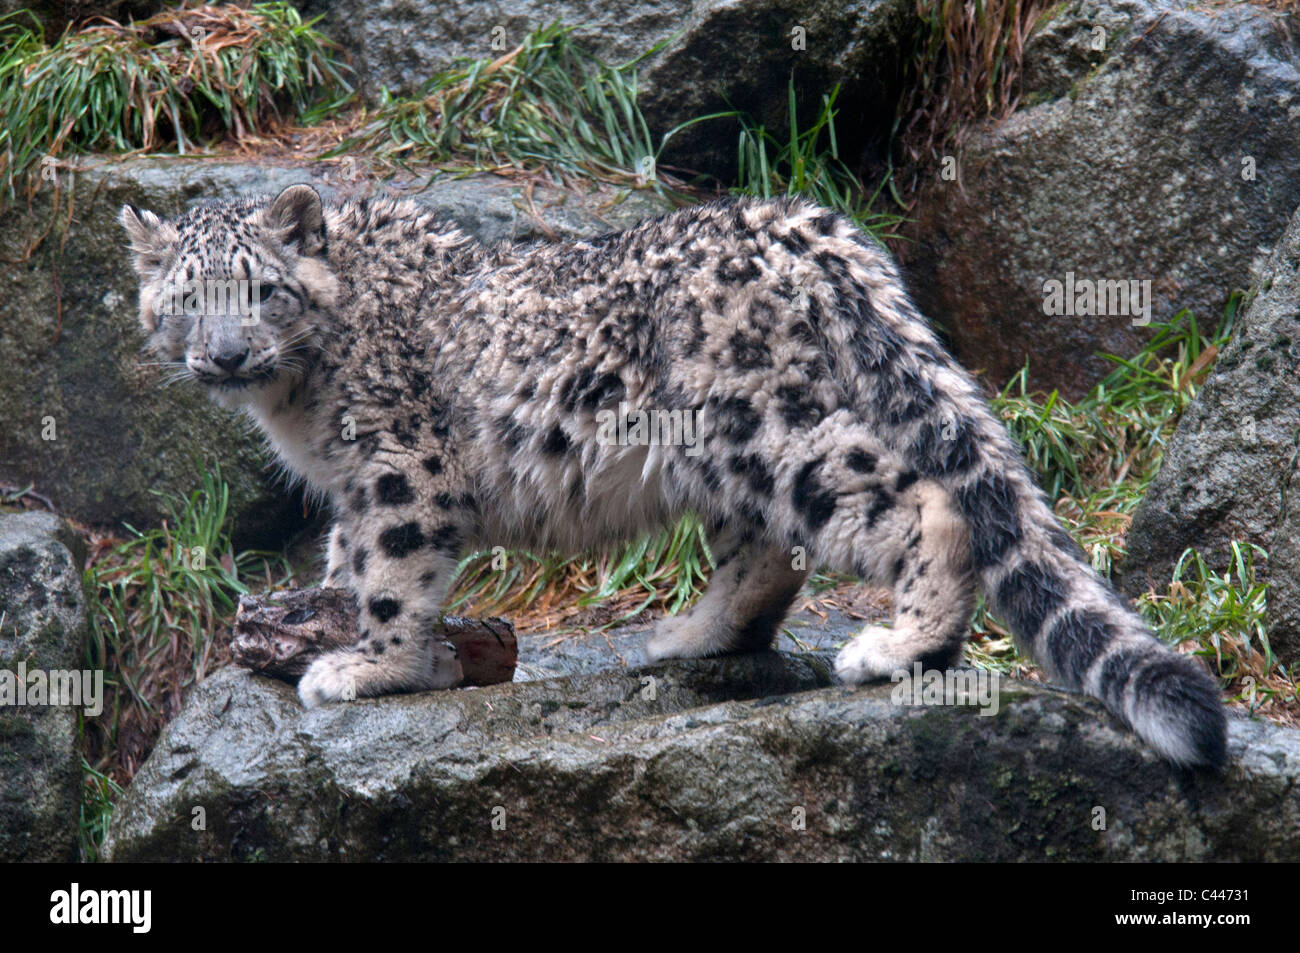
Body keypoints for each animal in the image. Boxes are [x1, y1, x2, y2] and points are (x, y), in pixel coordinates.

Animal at [120, 183, 1228, 767]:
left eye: (262, 290)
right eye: (185, 298)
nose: (222, 354)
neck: (297, 405)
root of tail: (811, 227)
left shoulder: (400, 464)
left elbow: (393, 565)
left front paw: (366, 666)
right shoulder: (350, 481)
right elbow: (349, 556)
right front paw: (312, 621)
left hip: (760, 428)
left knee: (916, 500)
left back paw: (900, 644)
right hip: (728, 457)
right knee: (766, 553)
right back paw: (686, 637)